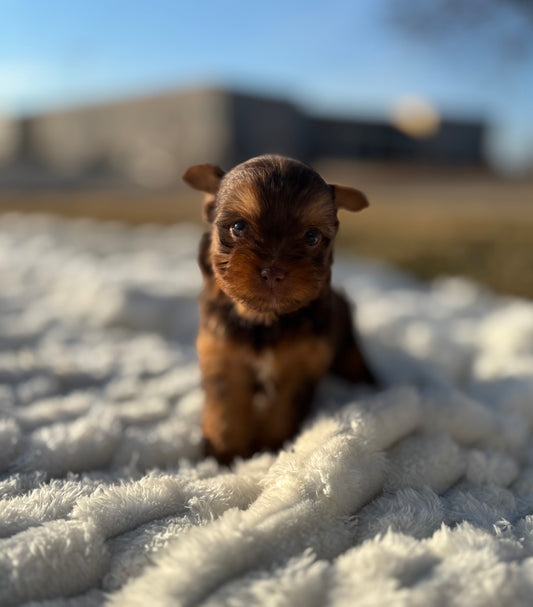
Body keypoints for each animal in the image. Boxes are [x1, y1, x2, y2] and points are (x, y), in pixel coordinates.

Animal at [183, 155, 376, 463]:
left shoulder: (300, 365)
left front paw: (272, 448)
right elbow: (226, 412)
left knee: (355, 360)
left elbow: (282, 410)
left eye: (312, 237)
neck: (263, 319)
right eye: (238, 227)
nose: (273, 271)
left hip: (347, 338)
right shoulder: (224, 355)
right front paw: (227, 456)